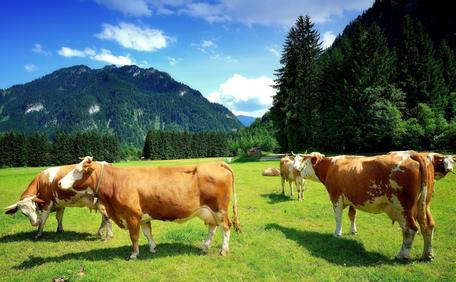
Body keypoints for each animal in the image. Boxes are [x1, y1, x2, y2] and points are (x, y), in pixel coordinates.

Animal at [58, 156, 240, 260]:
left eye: (78, 170)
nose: (59, 182)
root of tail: (217, 163)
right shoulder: (143, 216)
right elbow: (147, 233)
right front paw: (153, 248)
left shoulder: (132, 215)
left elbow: (134, 236)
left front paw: (133, 254)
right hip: (208, 211)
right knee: (213, 227)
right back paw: (205, 246)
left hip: (220, 209)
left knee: (226, 227)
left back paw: (223, 250)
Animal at [294, 151, 436, 262]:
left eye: (305, 162)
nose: (298, 171)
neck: (330, 166)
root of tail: (413, 154)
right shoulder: (352, 199)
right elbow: (352, 215)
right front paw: (353, 231)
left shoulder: (336, 197)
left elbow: (338, 217)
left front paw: (337, 233)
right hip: (424, 204)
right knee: (428, 226)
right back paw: (427, 255)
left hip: (403, 207)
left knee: (410, 229)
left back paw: (402, 255)